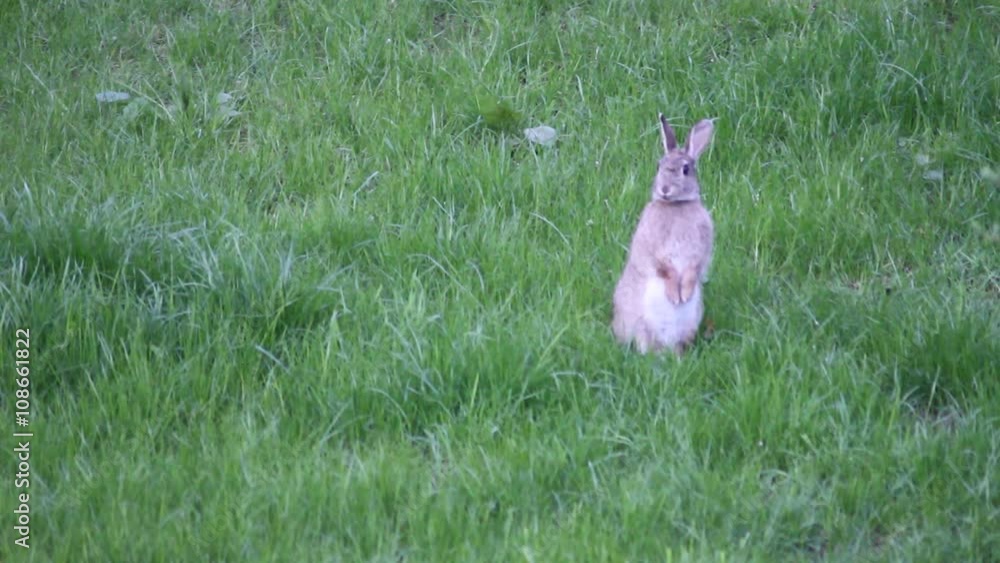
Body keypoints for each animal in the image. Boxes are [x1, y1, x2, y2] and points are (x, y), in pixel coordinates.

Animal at [612, 114, 715, 355]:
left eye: (686, 169)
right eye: (659, 166)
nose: (665, 190)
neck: (675, 205)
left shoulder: (700, 250)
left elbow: (692, 270)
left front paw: (684, 294)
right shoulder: (653, 247)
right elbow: (665, 269)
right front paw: (675, 296)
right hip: (642, 324)